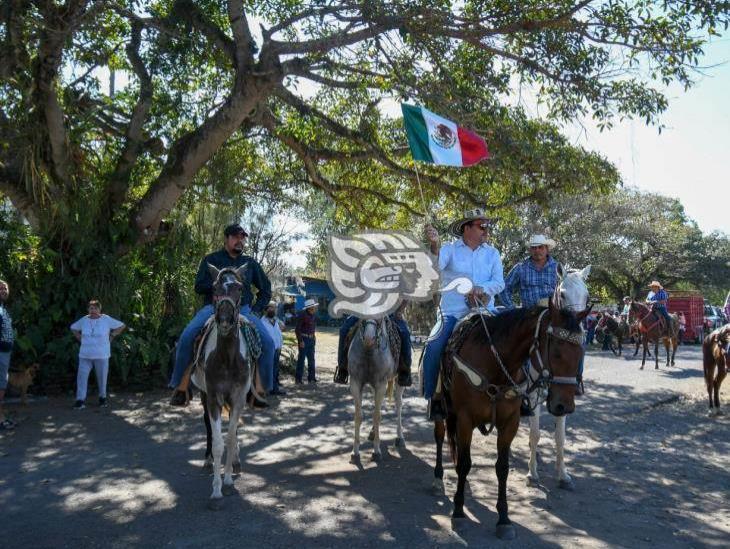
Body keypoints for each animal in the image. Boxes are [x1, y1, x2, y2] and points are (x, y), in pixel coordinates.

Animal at [346, 314, 404, 460]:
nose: (369, 339)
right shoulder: (355, 383)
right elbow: (358, 415)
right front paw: (355, 451)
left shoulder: (381, 384)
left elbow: (377, 416)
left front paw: (376, 451)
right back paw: (372, 433)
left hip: (399, 381)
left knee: (398, 405)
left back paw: (400, 437)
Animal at [430, 298, 584, 536]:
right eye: (557, 352)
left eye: (581, 353)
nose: (564, 406)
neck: (495, 364)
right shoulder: (465, 420)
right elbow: (464, 463)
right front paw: (458, 511)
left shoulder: (510, 423)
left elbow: (502, 468)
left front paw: (504, 518)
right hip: (442, 408)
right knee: (439, 436)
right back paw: (438, 479)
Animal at [524, 264, 584, 488]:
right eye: (563, 294)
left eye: (586, 294)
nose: (576, 323)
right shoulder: (533, 395)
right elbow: (535, 433)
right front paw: (532, 472)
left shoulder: (563, 398)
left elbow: (560, 437)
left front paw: (563, 473)